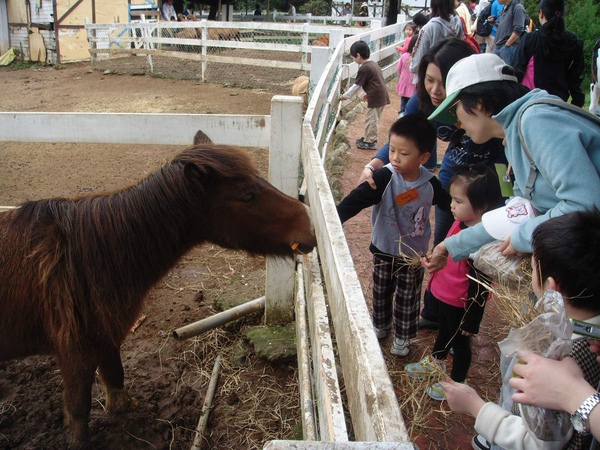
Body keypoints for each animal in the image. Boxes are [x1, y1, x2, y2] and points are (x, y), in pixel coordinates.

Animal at [0, 144, 318, 446]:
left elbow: (115, 376)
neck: (84, 259)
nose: (309, 227)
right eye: (247, 196)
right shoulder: (76, 353)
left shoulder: (105, 336)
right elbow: (78, 412)